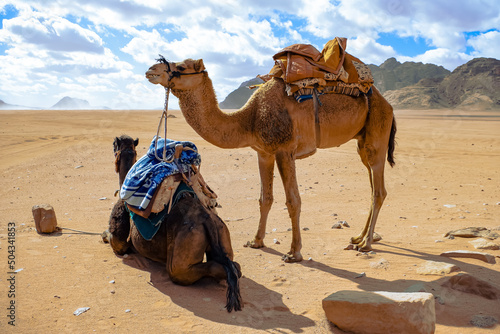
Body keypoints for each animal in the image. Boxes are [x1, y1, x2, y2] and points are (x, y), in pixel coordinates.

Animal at [102, 134, 242, 312]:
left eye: (114, 145)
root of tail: (207, 219)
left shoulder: (120, 214)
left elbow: (116, 241)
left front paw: (105, 236)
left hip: (184, 247)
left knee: (181, 271)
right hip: (221, 230)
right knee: (231, 264)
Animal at [146, 55, 396, 264]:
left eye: (180, 67)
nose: (151, 70)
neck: (249, 118)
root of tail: (388, 105)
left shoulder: (285, 150)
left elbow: (293, 201)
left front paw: (294, 252)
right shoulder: (263, 152)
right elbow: (264, 198)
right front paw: (256, 241)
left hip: (377, 133)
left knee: (379, 191)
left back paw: (366, 244)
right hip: (362, 143)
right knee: (372, 187)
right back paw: (358, 237)